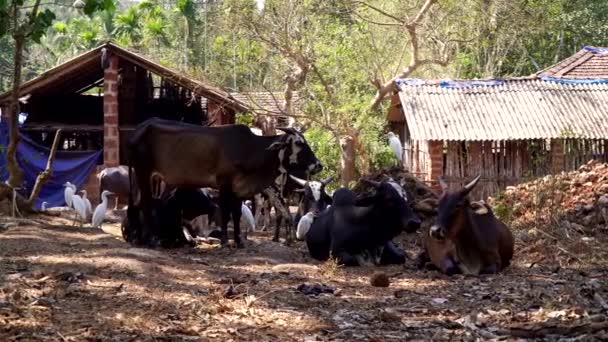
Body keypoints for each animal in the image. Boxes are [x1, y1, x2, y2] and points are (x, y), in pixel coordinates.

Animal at [125, 119, 320, 247]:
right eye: (298, 143)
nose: (319, 165)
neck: (249, 148)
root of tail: (139, 129)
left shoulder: (238, 189)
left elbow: (236, 215)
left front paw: (239, 241)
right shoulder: (225, 186)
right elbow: (226, 214)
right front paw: (226, 241)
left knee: (136, 204)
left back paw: (137, 237)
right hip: (143, 173)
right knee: (145, 203)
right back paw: (150, 239)